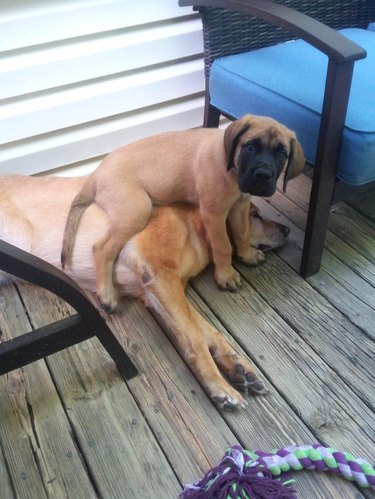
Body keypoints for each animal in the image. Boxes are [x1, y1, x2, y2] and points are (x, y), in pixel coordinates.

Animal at [0, 176, 290, 410]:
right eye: (254, 215)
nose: (288, 229)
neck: (193, 223)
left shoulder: (155, 292)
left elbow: (207, 331)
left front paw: (239, 368)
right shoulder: (160, 276)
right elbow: (196, 337)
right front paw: (220, 386)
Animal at [61, 114, 306, 310]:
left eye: (282, 154)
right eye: (250, 147)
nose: (263, 175)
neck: (232, 170)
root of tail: (96, 173)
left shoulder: (240, 205)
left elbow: (242, 233)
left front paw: (247, 255)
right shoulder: (214, 214)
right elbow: (224, 246)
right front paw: (225, 276)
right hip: (137, 209)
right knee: (101, 248)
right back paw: (107, 295)